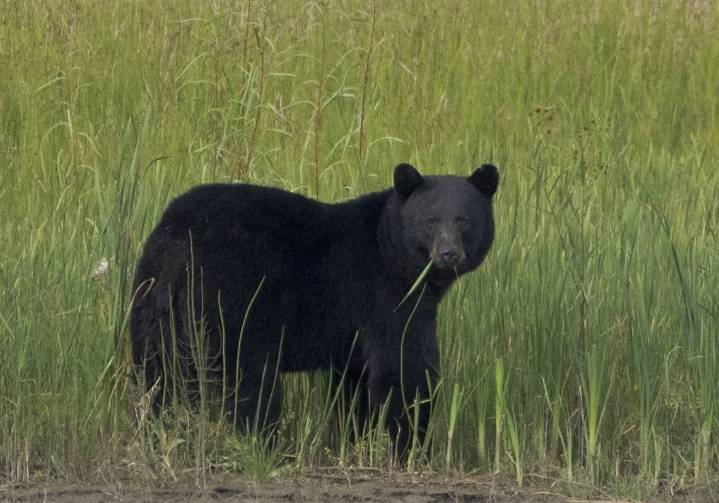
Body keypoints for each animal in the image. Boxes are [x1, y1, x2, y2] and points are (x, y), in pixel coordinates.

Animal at [129, 162, 499, 458]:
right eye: (431, 220)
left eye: (464, 220)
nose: (449, 253)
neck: (390, 249)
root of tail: (179, 239)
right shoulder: (387, 297)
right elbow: (404, 370)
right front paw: (412, 450)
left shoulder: (353, 338)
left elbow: (354, 387)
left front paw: (356, 443)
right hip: (234, 305)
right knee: (250, 384)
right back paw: (262, 448)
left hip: (151, 302)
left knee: (156, 376)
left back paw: (155, 435)